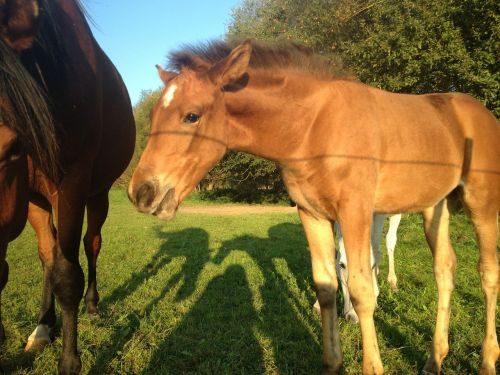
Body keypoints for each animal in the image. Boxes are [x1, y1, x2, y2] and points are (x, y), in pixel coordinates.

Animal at [0, 1, 136, 374]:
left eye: (9, 148)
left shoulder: (71, 185)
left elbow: (67, 274)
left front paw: (70, 361)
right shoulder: (30, 198)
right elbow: (49, 258)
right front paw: (44, 327)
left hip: (98, 195)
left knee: (91, 245)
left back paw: (92, 304)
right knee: (50, 253)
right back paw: (44, 326)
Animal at [129, 39, 500, 374]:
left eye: (191, 116)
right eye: (153, 115)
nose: (141, 192)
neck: (314, 128)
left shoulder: (355, 212)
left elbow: (362, 289)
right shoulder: (312, 214)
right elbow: (326, 287)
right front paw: (333, 363)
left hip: (481, 203)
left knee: (487, 273)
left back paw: (486, 361)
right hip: (436, 207)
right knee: (445, 269)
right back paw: (435, 359)